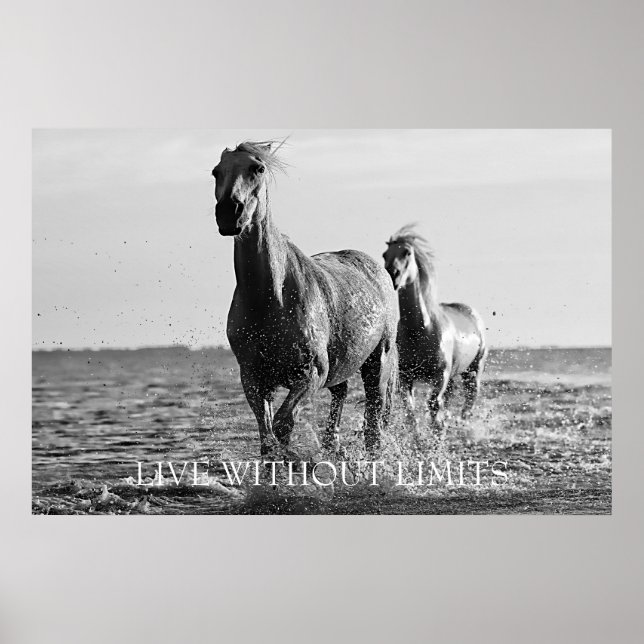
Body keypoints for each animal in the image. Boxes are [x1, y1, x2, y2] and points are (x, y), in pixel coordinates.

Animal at [212, 141, 399, 456]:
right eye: (216, 171)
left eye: (258, 168)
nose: (229, 212)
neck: (270, 301)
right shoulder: (253, 378)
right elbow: (268, 438)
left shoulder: (310, 374)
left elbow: (282, 425)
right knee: (341, 397)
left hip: (378, 364)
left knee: (374, 423)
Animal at [382, 225, 487, 431]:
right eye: (385, 254)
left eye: (407, 252)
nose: (392, 274)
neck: (420, 330)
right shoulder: (406, 377)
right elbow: (411, 413)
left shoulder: (440, 376)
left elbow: (434, 407)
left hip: (473, 371)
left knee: (469, 402)